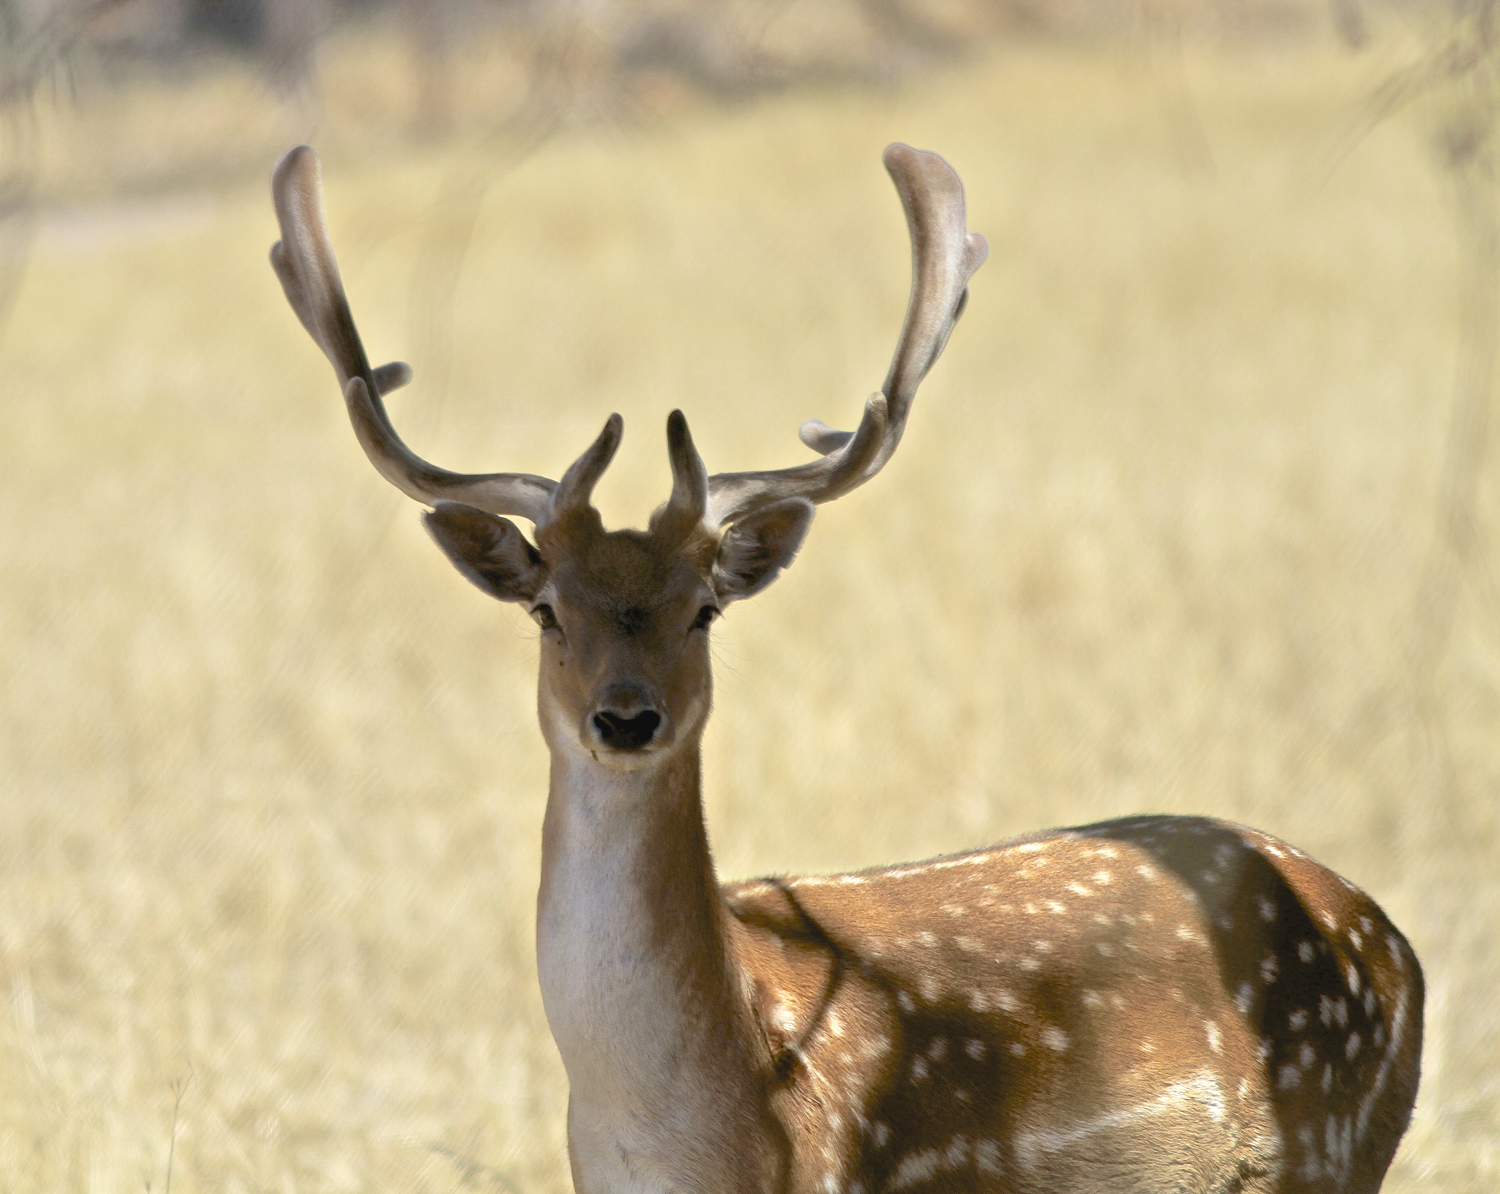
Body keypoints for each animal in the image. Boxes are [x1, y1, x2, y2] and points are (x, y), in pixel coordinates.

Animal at [269, 142, 1423, 1194]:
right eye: (548, 610)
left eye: (704, 609)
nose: (628, 718)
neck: (686, 1131)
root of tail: (1395, 943)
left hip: (1334, 1147)